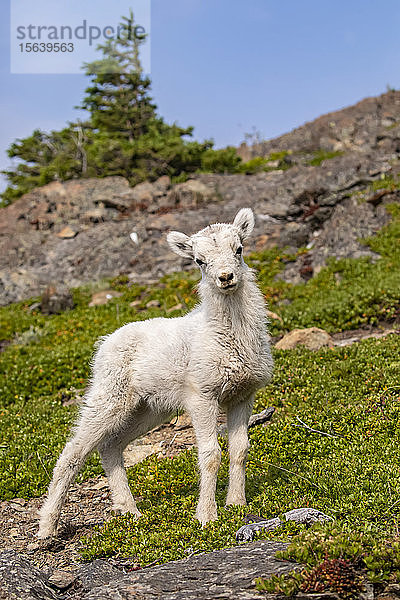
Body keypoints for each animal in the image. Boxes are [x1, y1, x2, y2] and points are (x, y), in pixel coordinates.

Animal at [37, 207, 274, 540]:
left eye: (239, 249)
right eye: (198, 261)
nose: (225, 277)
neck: (228, 336)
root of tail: (104, 342)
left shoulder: (243, 394)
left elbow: (240, 450)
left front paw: (236, 505)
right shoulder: (202, 395)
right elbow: (210, 455)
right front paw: (207, 517)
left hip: (147, 408)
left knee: (110, 447)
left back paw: (130, 511)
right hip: (109, 395)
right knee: (72, 452)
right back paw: (47, 527)